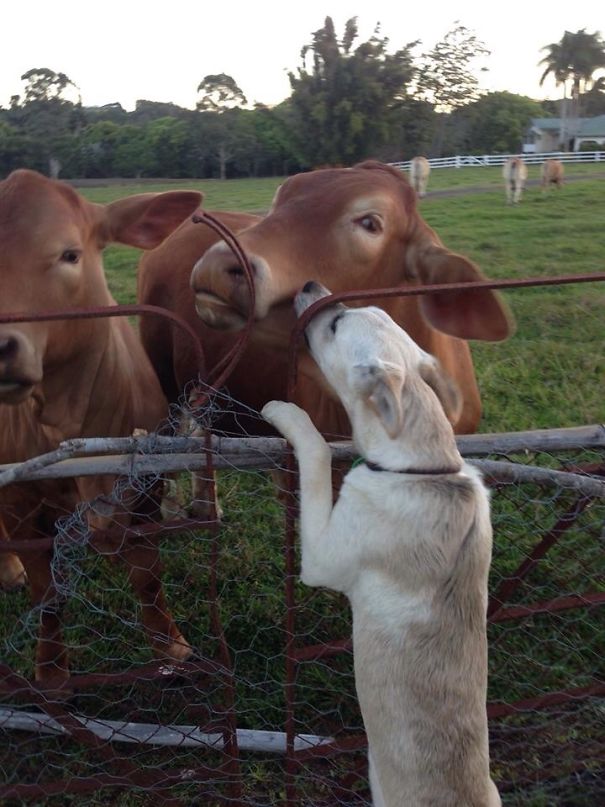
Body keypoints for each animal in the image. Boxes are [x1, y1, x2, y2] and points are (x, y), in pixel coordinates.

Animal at [0, 169, 203, 680]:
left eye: (70, 254)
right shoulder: (21, 504)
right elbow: (48, 597)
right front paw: (52, 672)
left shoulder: (147, 489)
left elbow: (147, 578)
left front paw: (171, 649)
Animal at [260, 284, 500, 807]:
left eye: (335, 325)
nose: (310, 286)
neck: (421, 467)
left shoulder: (323, 555)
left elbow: (317, 448)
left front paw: (288, 414)